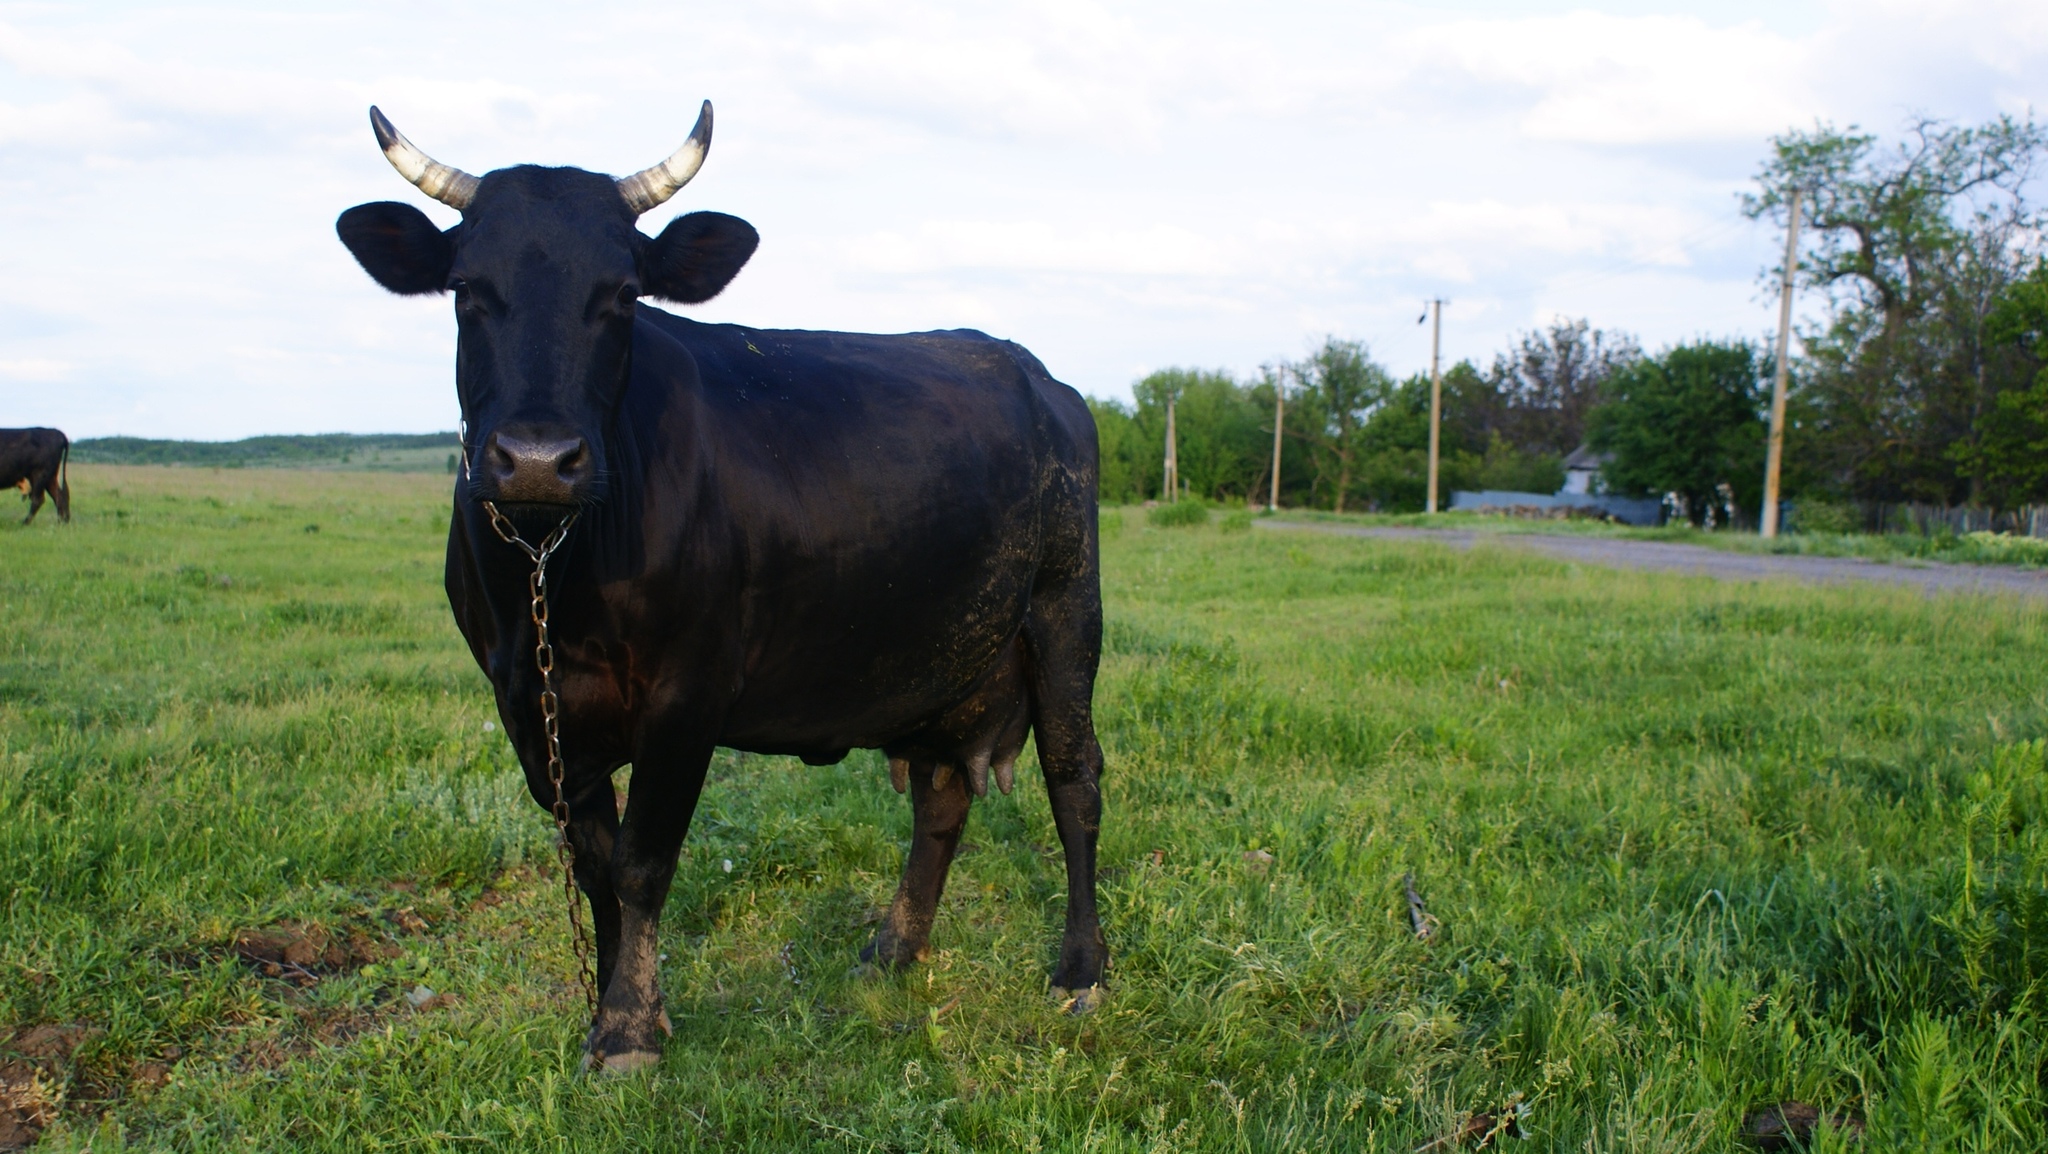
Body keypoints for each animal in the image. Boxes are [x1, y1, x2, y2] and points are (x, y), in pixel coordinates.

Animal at [335, 104, 1105, 1074]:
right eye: (467, 287)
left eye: (623, 294)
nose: (539, 459)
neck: (554, 570)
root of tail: (1034, 374)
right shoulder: (528, 705)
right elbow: (596, 869)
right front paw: (625, 1008)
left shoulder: (687, 696)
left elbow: (641, 862)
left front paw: (628, 1031)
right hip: (938, 656)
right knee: (940, 800)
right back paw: (893, 948)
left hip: (1066, 615)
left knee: (1076, 783)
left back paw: (1081, 969)